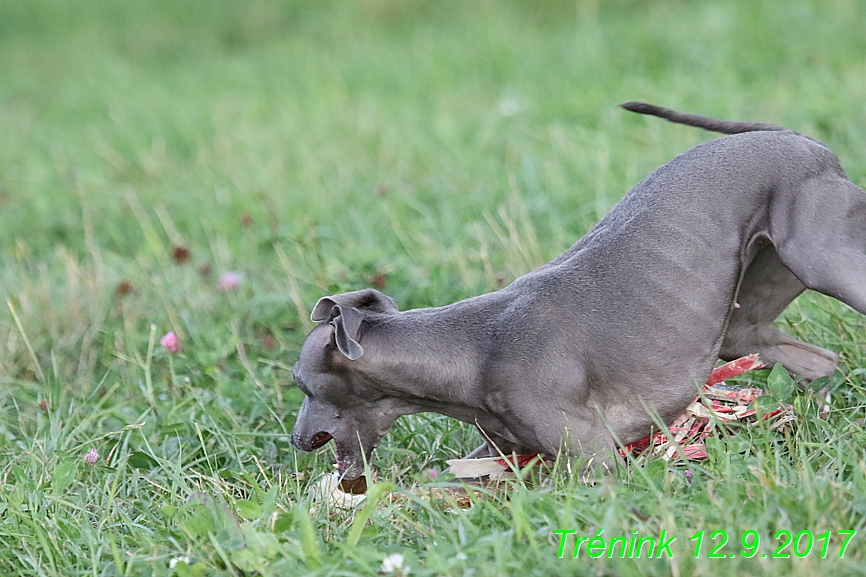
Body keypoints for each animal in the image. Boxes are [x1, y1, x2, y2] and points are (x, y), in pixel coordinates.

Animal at [288, 103, 856, 482]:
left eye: (299, 383)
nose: (293, 440)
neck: (466, 351)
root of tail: (799, 140)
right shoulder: (499, 455)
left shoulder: (597, 460)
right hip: (744, 321)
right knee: (815, 360)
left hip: (825, 260)